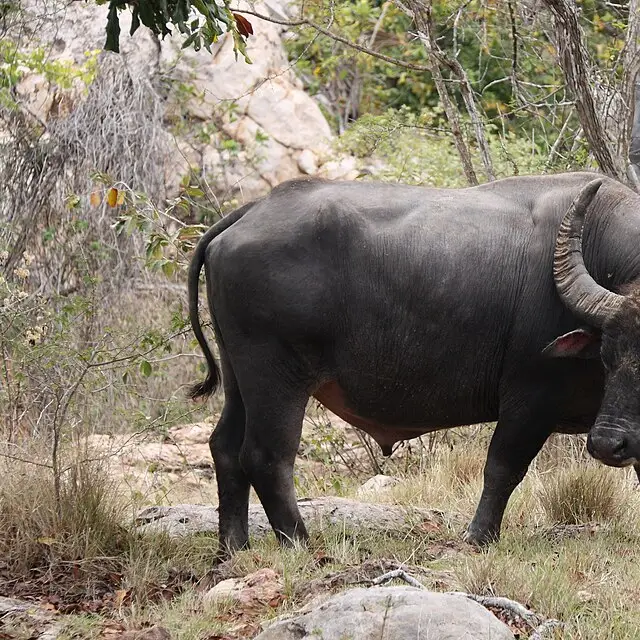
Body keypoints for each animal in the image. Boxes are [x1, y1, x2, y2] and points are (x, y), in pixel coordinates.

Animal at [188, 172, 640, 555]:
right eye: (606, 356)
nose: (607, 443)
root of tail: (253, 210)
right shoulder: (529, 399)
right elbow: (503, 467)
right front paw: (479, 537)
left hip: (239, 377)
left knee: (225, 447)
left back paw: (234, 547)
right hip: (275, 378)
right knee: (266, 455)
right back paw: (299, 543)